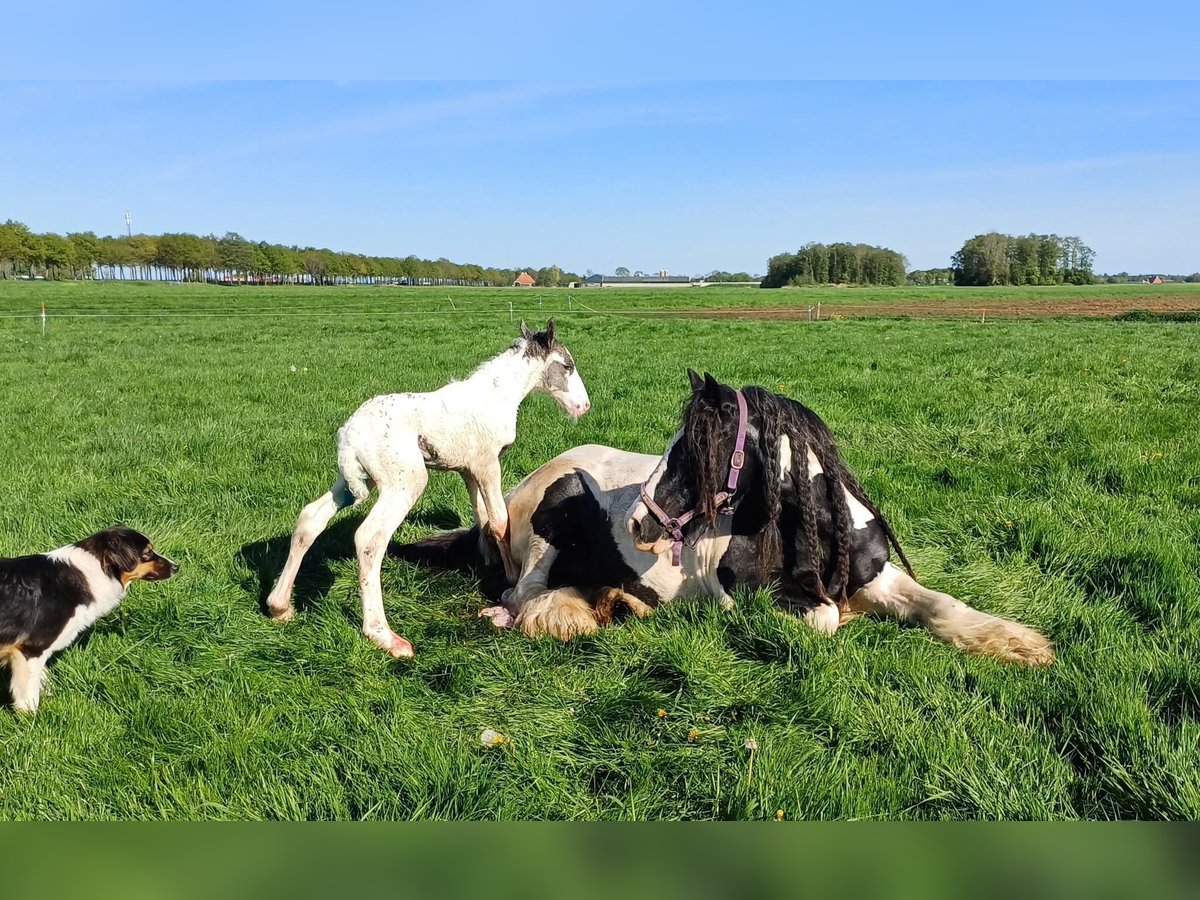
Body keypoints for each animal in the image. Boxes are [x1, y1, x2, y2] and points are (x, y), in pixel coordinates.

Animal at [265, 319, 591, 658]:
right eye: (567, 365)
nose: (584, 406)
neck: (495, 396)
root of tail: (349, 438)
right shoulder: (488, 463)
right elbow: (500, 520)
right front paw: (511, 576)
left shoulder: (467, 470)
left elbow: (483, 518)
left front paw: (489, 562)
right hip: (406, 482)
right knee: (369, 538)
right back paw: (385, 637)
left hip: (350, 482)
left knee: (310, 518)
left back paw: (279, 607)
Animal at [397, 370, 1053, 665]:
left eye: (695, 451)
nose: (637, 527)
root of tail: (515, 495)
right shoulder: (758, 600)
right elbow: (824, 620)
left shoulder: (883, 578)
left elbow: (942, 605)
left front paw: (1020, 645)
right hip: (548, 532)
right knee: (521, 597)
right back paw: (576, 613)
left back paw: (621, 602)